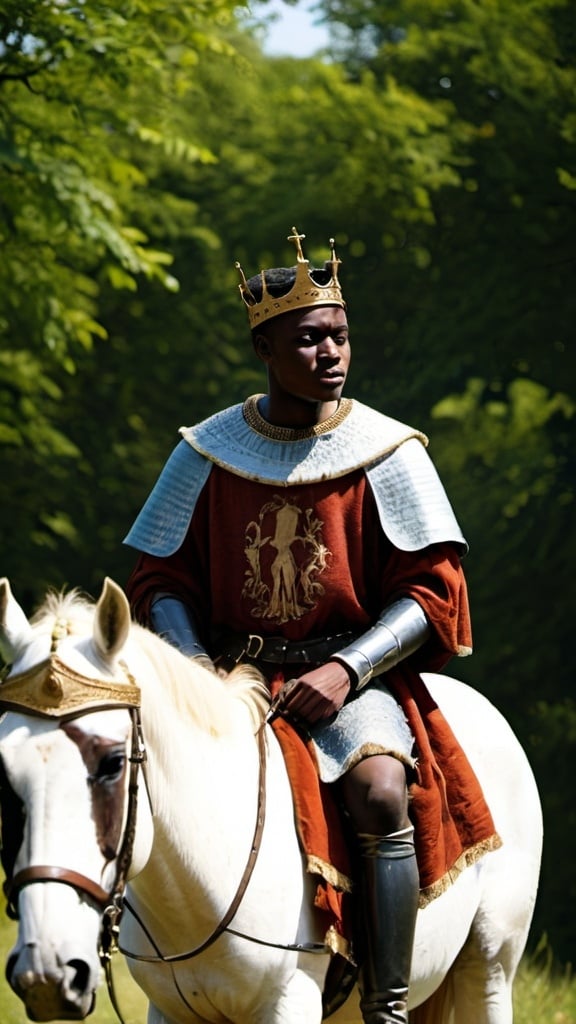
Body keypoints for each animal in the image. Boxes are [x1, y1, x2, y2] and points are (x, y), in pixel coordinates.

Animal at [0, 581, 541, 1019]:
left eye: (113, 762)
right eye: (6, 771)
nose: (48, 972)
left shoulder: (289, 1003)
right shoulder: (172, 1012)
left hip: (490, 968)